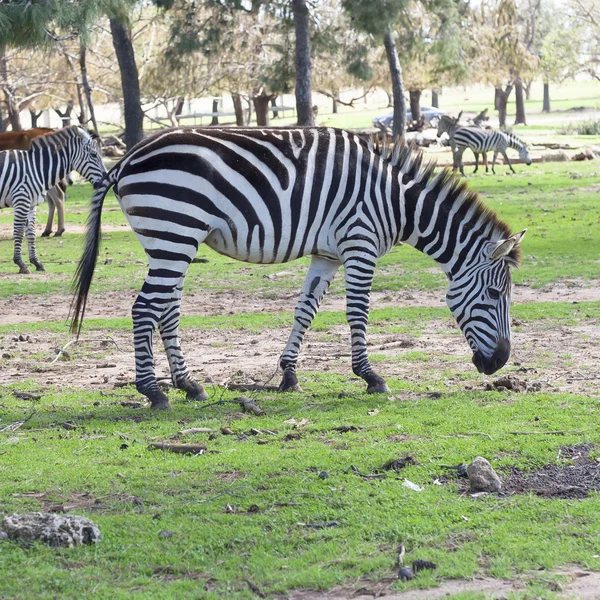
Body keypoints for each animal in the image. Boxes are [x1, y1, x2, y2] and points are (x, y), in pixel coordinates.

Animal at [0, 130, 105, 276]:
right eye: (94, 155)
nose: (105, 179)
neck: (35, 167)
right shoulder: (22, 200)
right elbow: (19, 232)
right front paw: (21, 263)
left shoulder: (31, 204)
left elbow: (31, 233)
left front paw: (36, 262)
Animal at [72, 128, 528, 410]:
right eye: (494, 295)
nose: (500, 363)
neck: (397, 201)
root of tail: (127, 157)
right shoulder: (359, 243)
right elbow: (357, 313)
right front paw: (370, 376)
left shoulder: (327, 254)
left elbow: (305, 310)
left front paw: (289, 375)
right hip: (174, 234)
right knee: (144, 309)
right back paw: (153, 391)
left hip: (170, 242)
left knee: (166, 310)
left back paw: (189, 385)